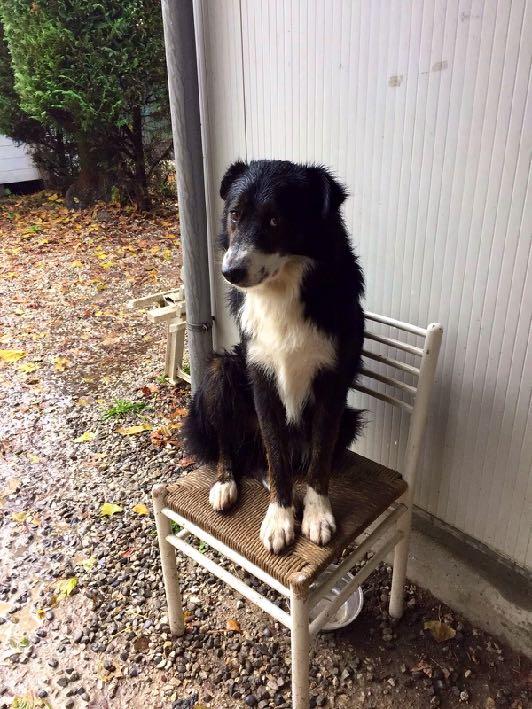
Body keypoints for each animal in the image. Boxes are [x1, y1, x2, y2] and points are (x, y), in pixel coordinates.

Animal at [184, 159, 366, 552]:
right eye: (235, 214)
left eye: (274, 220)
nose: (230, 272)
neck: (282, 287)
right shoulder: (262, 379)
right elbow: (277, 455)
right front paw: (279, 518)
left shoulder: (332, 384)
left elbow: (319, 457)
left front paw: (317, 514)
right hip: (222, 370)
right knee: (230, 445)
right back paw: (225, 484)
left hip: (350, 418)